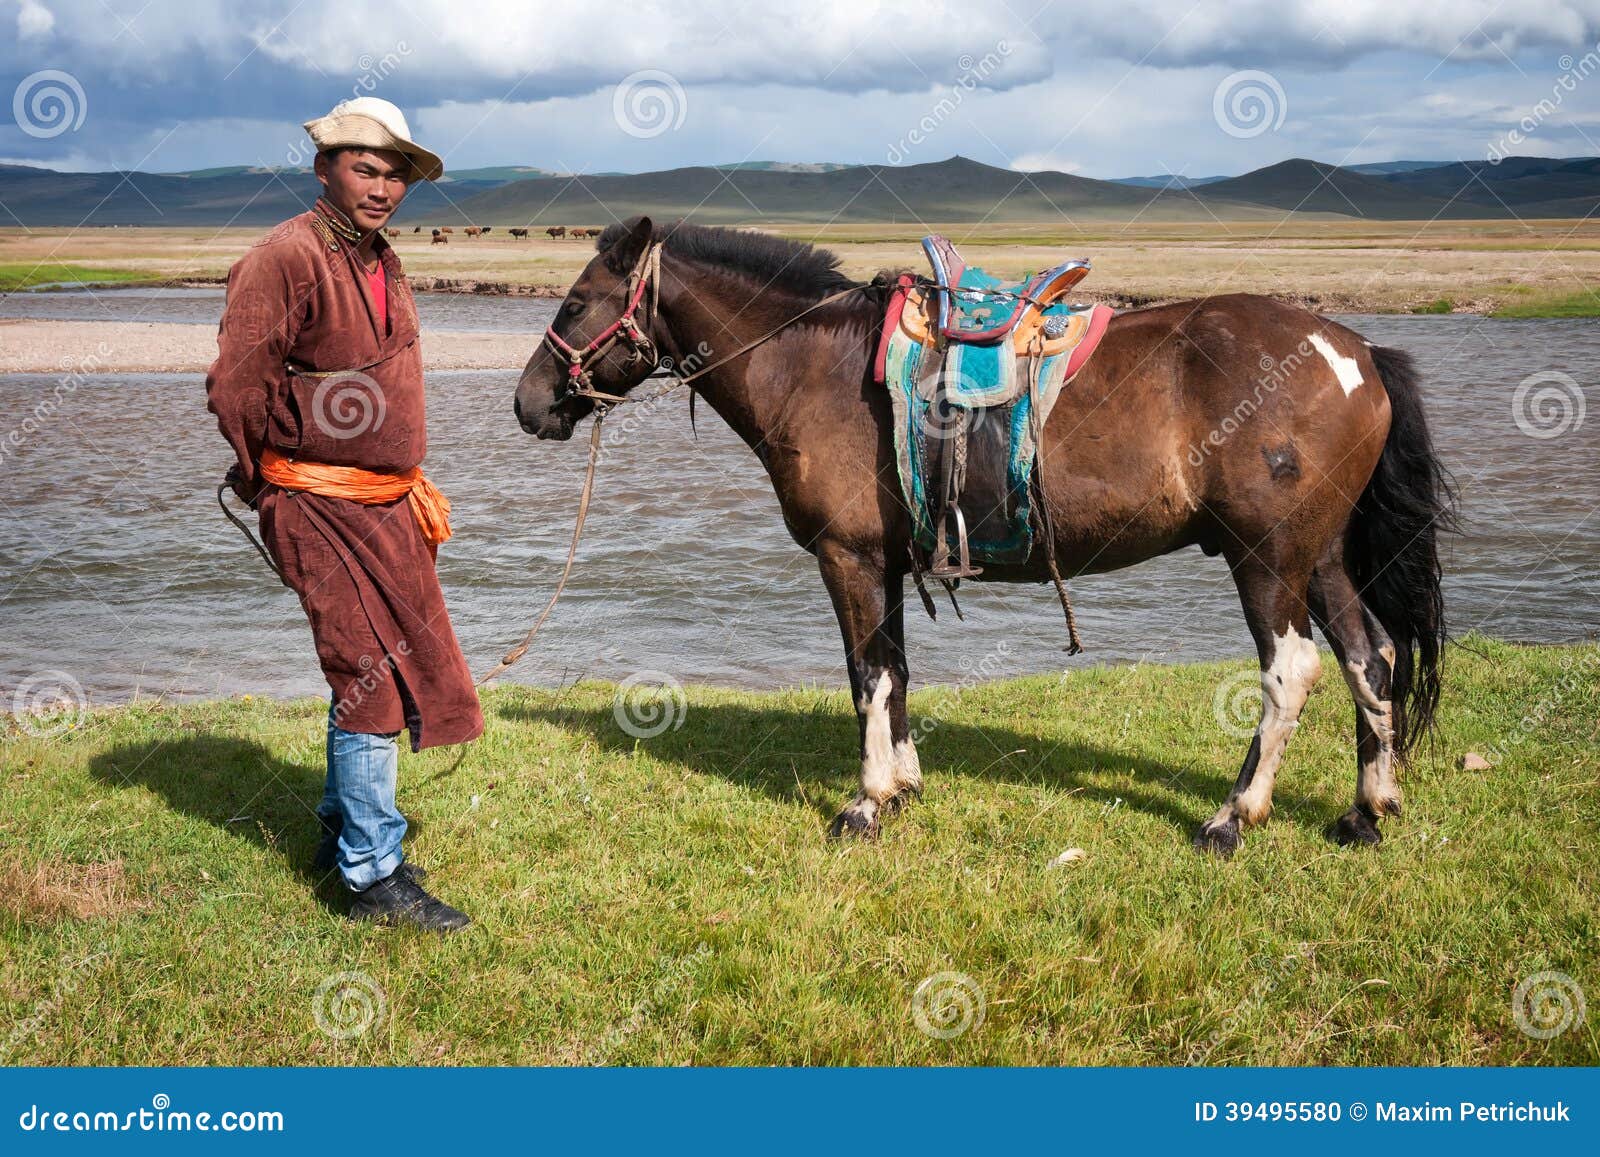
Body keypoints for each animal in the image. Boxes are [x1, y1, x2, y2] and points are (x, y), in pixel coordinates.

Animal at [508, 217, 1452, 857]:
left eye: (576, 300)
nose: (527, 402)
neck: (813, 367)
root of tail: (1355, 350)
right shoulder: (884, 563)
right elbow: (893, 672)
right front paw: (903, 786)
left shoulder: (848, 560)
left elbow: (866, 677)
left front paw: (865, 803)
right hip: (1320, 557)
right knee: (1371, 659)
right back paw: (1367, 810)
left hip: (1269, 559)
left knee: (1290, 671)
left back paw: (1233, 816)